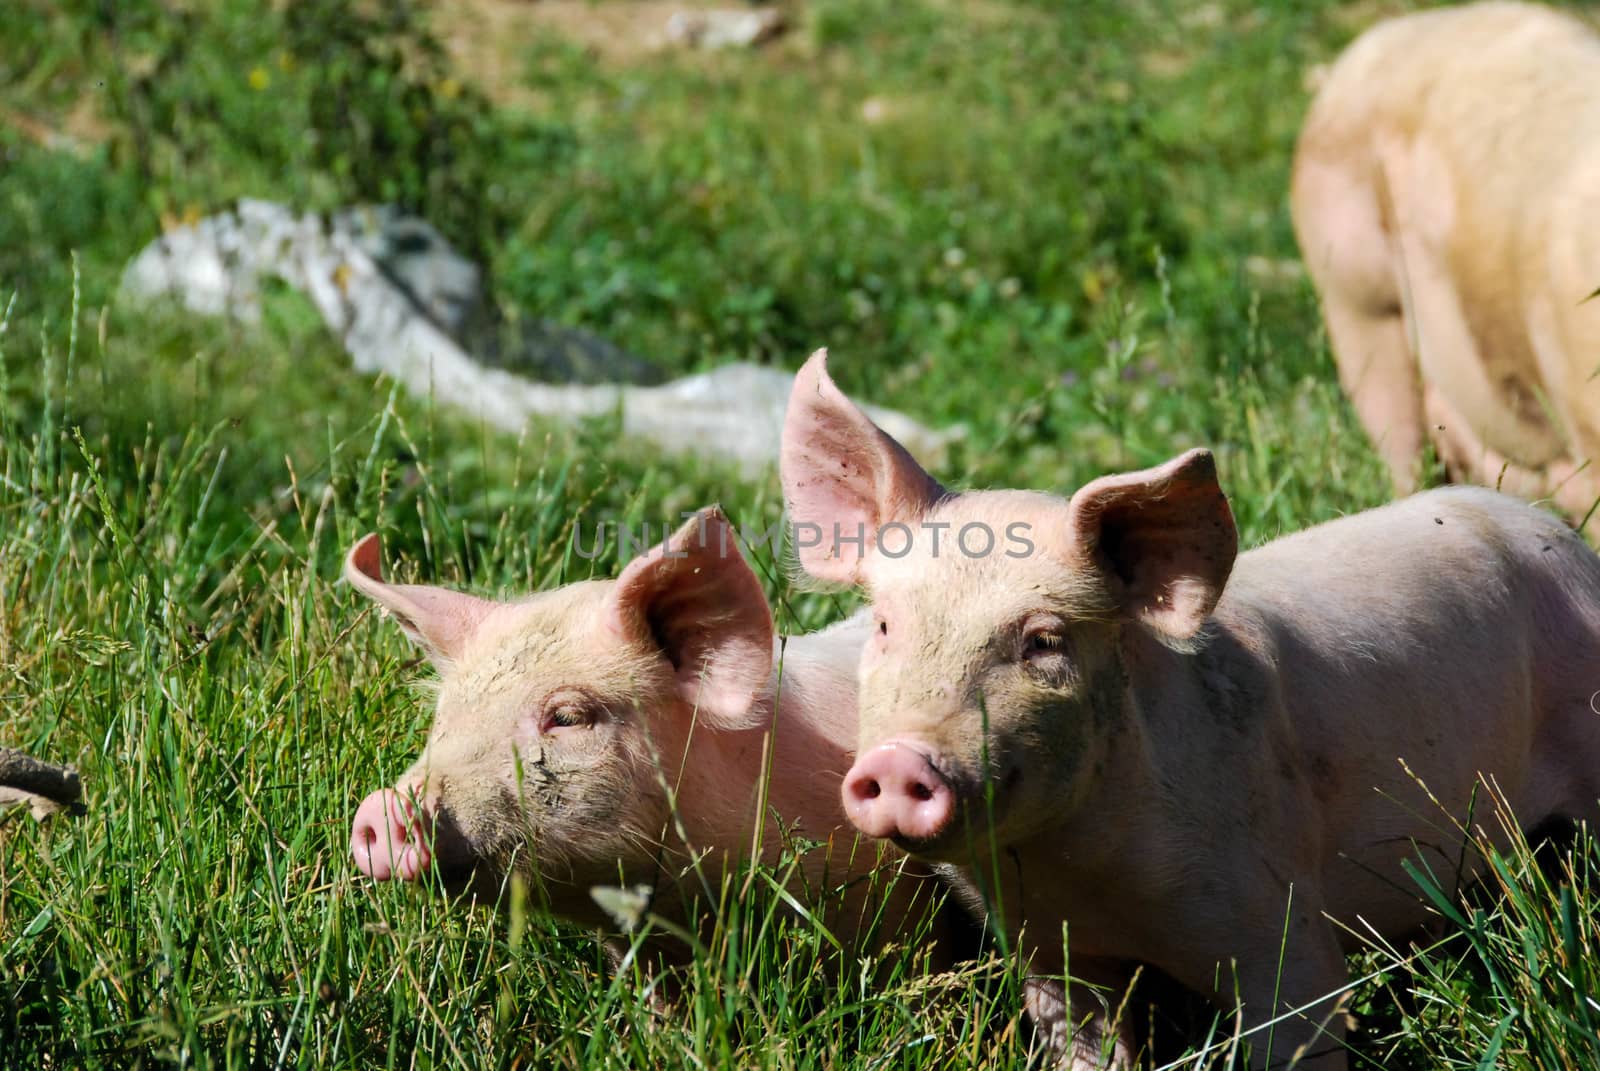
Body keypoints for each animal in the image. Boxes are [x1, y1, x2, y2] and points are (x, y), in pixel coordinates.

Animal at [780, 347, 1600, 1062]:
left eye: (1043, 640)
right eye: (885, 626)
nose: (899, 761)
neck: (1083, 875)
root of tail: (1558, 535)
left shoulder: (1278, 920)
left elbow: (1298, 1018)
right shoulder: (1051, 954)